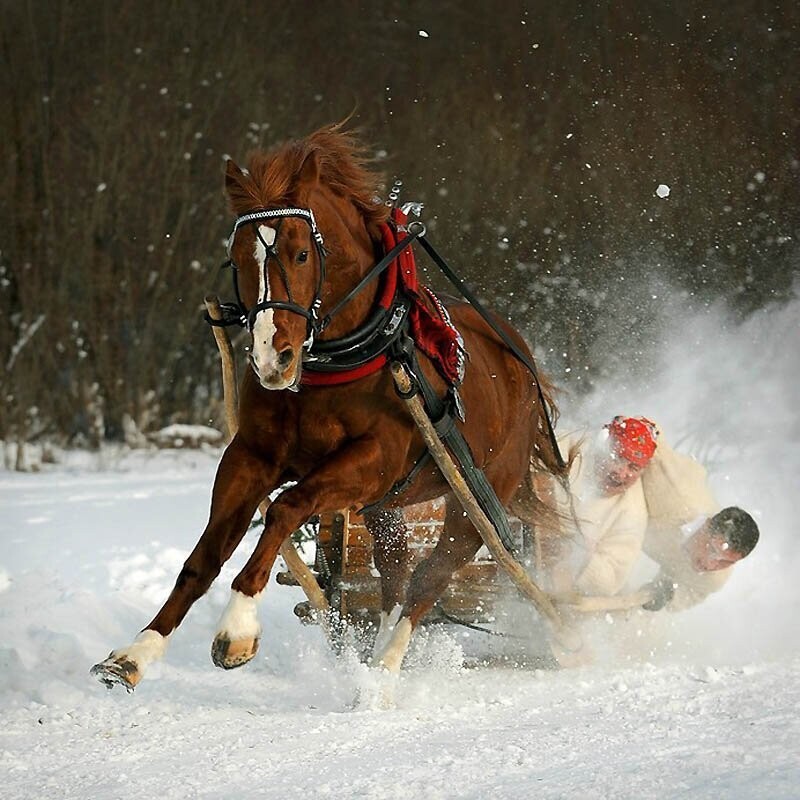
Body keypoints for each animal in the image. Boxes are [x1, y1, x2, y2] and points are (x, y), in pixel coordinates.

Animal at [94, 122, 564, 692]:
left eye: (300, 254)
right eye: (237, 258)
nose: (272, 357)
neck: (333, 361)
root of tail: (524, 363)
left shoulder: (371, 459)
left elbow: (285, 507)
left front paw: (238, 628)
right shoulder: (252, 455)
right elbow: (205, 555)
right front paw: (136, 653)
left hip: (476, 498)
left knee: (430, 577)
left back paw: (385, 668)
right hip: (385, 505)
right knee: (396, 572)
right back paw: (372, 653)